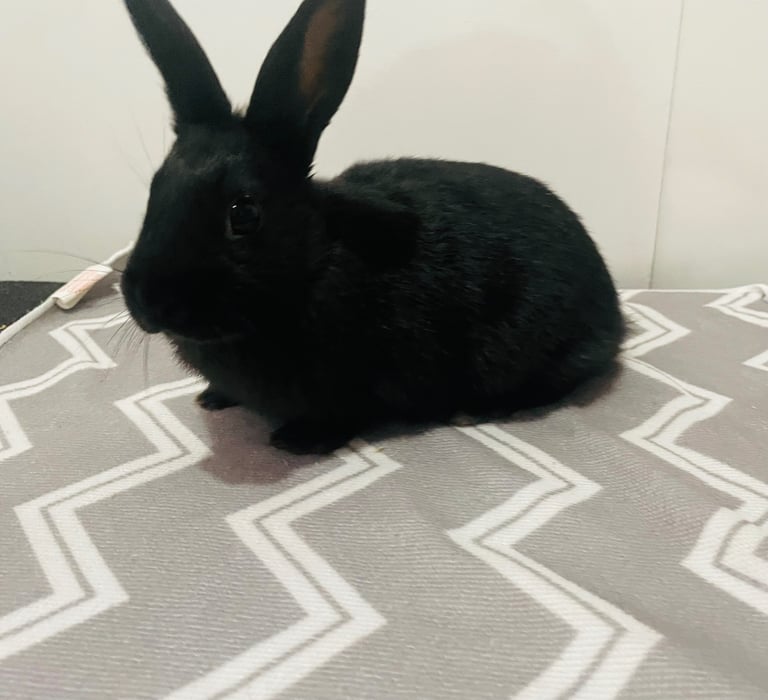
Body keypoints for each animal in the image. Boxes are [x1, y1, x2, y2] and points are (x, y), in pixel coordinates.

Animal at [120, 0, 626, 454]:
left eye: (243, 213)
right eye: (155, 191)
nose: (148, 301)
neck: (314, 265)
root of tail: (614, 313)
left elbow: (346, 414)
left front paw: (297, 440)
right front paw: (212, 397)